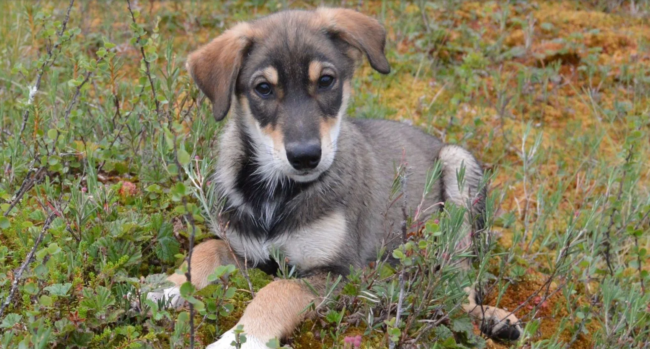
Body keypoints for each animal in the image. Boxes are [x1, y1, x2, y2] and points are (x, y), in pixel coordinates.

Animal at [148, 6, 520, 346]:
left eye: (326, 80)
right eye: (263, 88)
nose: (305, 157)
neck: (277, 193)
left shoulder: (339, 272)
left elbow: (278, 292)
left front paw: (243, 338)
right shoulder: (252, 255)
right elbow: (207, 248)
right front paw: (166, 287)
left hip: (458, 170)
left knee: (458, 286)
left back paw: (494, 319)